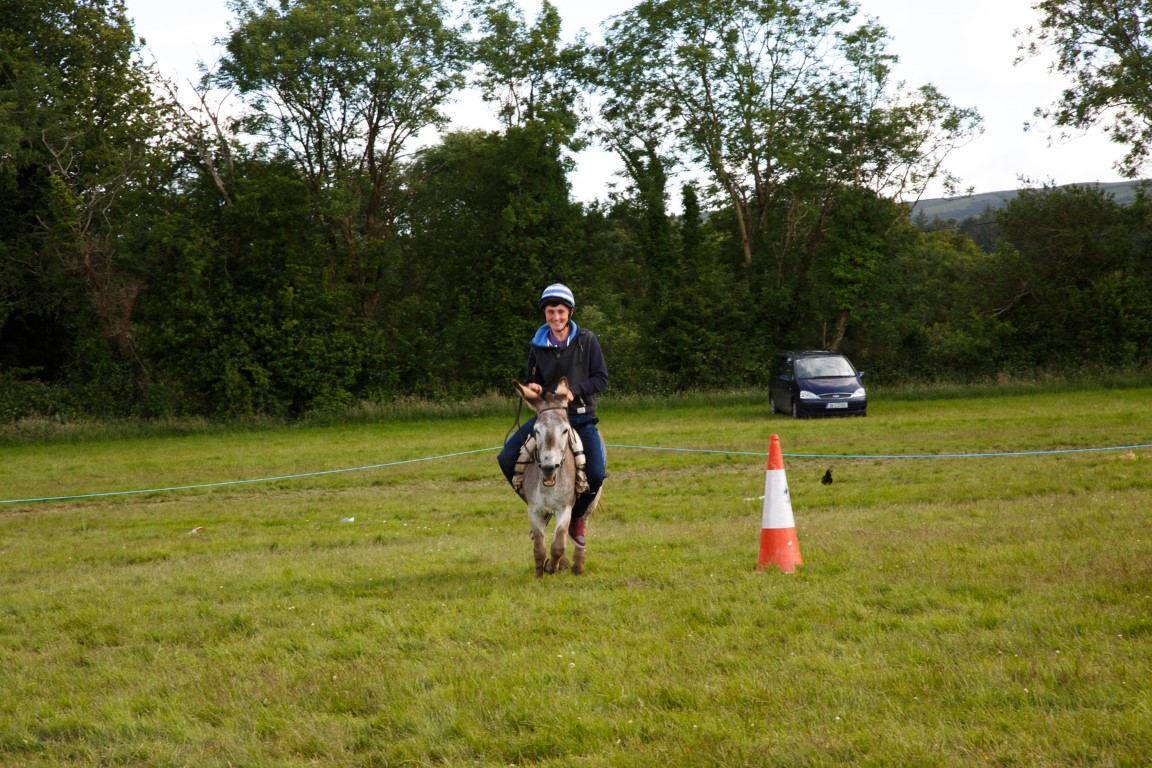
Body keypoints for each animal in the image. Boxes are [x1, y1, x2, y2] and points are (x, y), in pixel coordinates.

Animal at [511, 377, 587, 577]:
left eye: (565, 430)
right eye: (536, 430)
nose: (548, 467)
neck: (549, 482)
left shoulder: (564, 509)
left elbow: (558, 545)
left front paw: (551, 567)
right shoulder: (535, 510)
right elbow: (539, 547)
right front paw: (540, 574)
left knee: (580, 527)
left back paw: (577, 564)